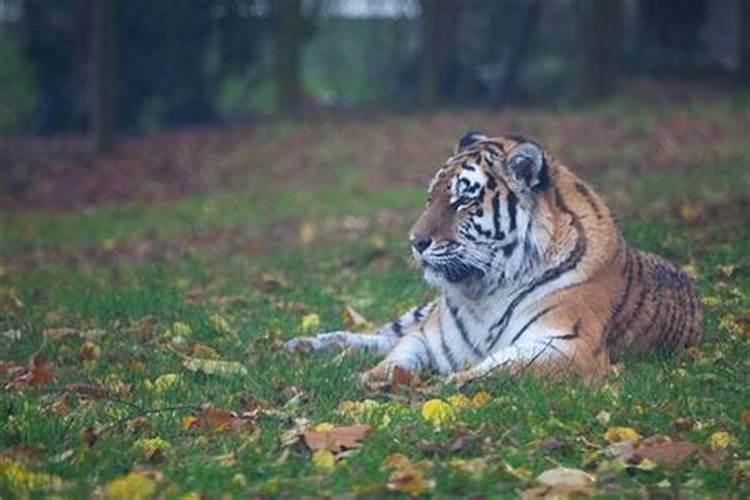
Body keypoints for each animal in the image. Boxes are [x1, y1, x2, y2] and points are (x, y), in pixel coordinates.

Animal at [284, 131, 704, 384]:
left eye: (463, 199)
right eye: (430, 198)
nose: (414, 242)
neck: (484, 289)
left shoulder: (568, 345)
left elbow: (500, 368)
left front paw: (445, 385)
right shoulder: (429, 338)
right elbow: (395, 358)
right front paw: (367, 380)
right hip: (417, 314)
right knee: (382, 335)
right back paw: (305, 346)